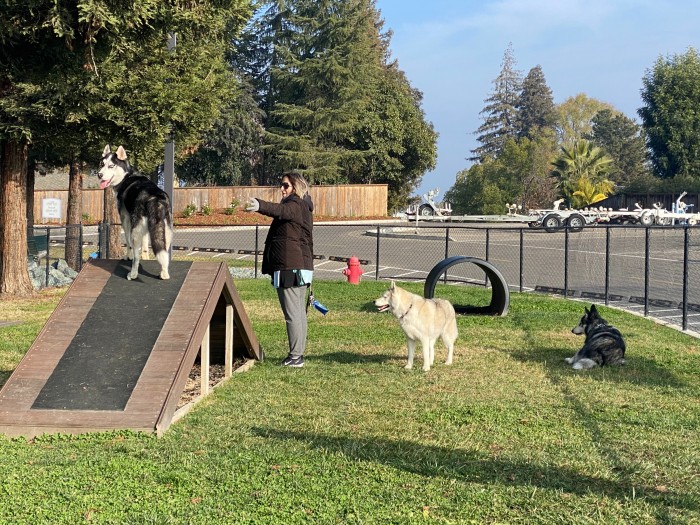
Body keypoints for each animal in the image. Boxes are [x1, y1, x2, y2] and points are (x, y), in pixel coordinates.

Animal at [98, 145, 173, 280]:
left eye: (111, 166)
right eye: (102, 164)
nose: (99, 175)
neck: (126, 176)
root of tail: (155, 198)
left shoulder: (125, 220)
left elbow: (128, 244)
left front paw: (128, 256)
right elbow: (145, 244)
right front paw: (146, 255)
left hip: (135, 231)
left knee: (136, 258)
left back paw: (133, 273)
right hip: (166, 232)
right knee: (164, 253)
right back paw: (164, 273)